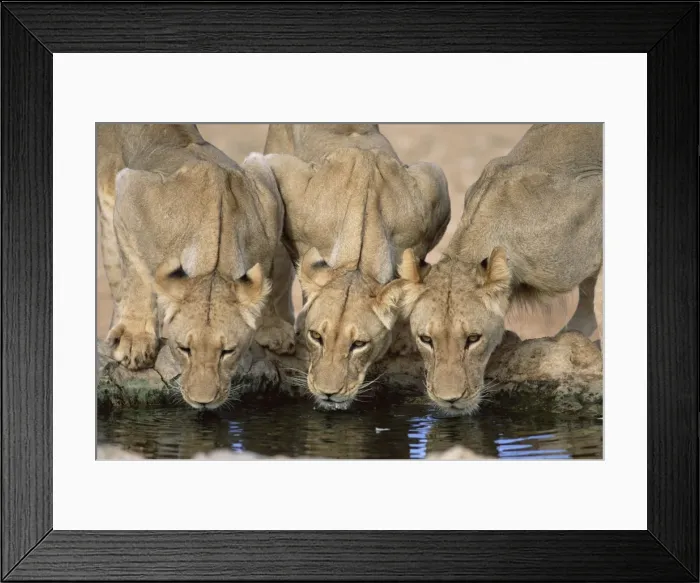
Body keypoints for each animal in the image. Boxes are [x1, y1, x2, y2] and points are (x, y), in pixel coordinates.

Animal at [97, 123, 294, 409]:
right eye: (184, 349)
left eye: (227, 351)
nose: (203, 402)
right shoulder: (130, 191)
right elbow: (137, 274)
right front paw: (136, 340)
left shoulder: (268, 198)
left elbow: (266, 277)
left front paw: (273, 329)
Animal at [259, 124, 450, 410]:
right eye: (316, 336)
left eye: (359, 344)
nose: (328, 393)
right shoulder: (279, 170)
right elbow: (269, 256)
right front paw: (274, 331)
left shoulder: (433, 188)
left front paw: (405, 337)